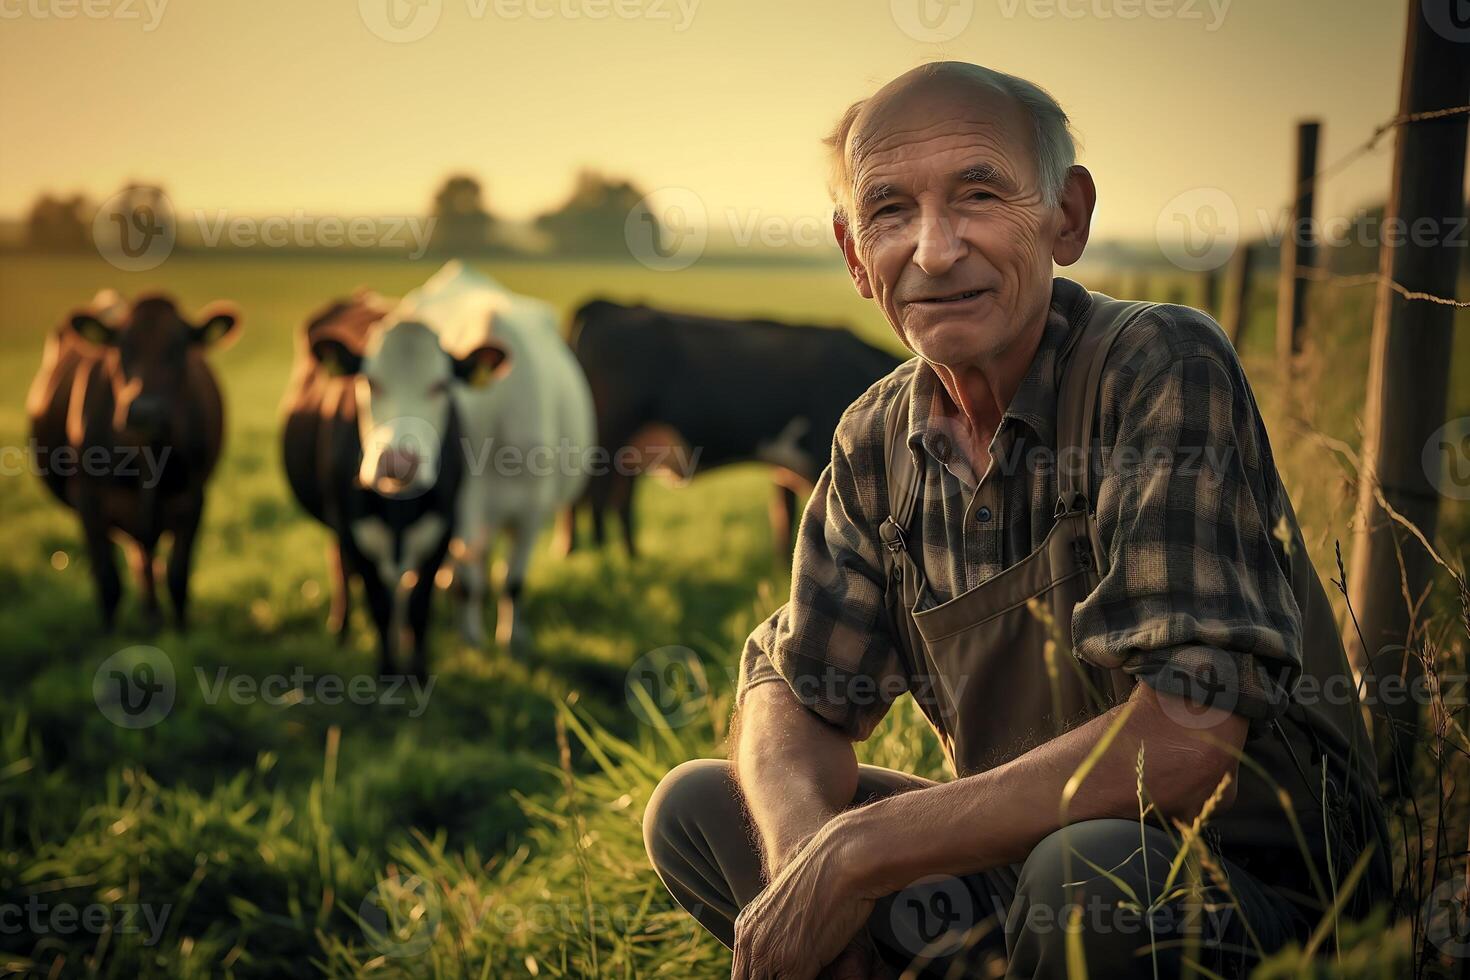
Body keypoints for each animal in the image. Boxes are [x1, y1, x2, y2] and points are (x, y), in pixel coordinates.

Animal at [25, 287, 242, 631]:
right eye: (121, 348)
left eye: (179, 348)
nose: (145, 411)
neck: (147, 455)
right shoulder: (88, 500)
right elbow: (108, 582)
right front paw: (110, 636)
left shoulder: (193, 499)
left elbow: (178, 578)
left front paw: (181, 633)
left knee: (145, 556)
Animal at [567, 299, 899, 555]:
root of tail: (608, 305)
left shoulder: (786, 469)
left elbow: (784, 520)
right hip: (606, 438)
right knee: (594, 500)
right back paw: (601, 560)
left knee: (614, 500)